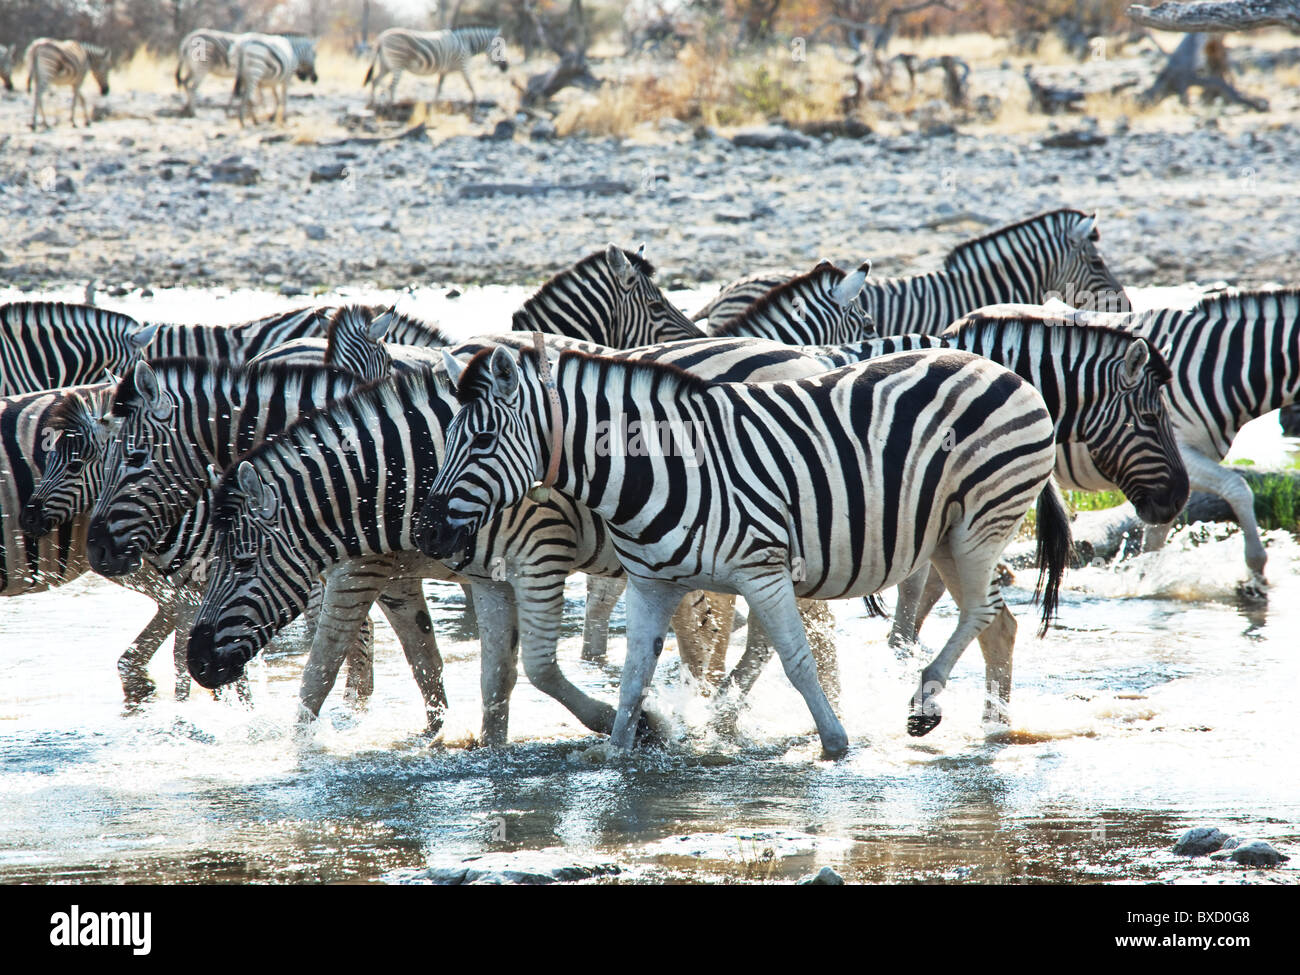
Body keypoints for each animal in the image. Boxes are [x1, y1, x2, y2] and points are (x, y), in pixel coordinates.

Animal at [364, 26, 506, 108]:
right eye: (500, 49)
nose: (506, 68)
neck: (468, 44)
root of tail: (381, 37)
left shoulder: (444, 70)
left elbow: (439, 87)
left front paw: (435, 104)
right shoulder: (463, 65)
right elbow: (469, 83)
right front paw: (476, 100)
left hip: (385, 65)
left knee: (375, 81)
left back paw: (373, 103)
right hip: (397, 63)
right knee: (391, 86)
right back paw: (391, 105)